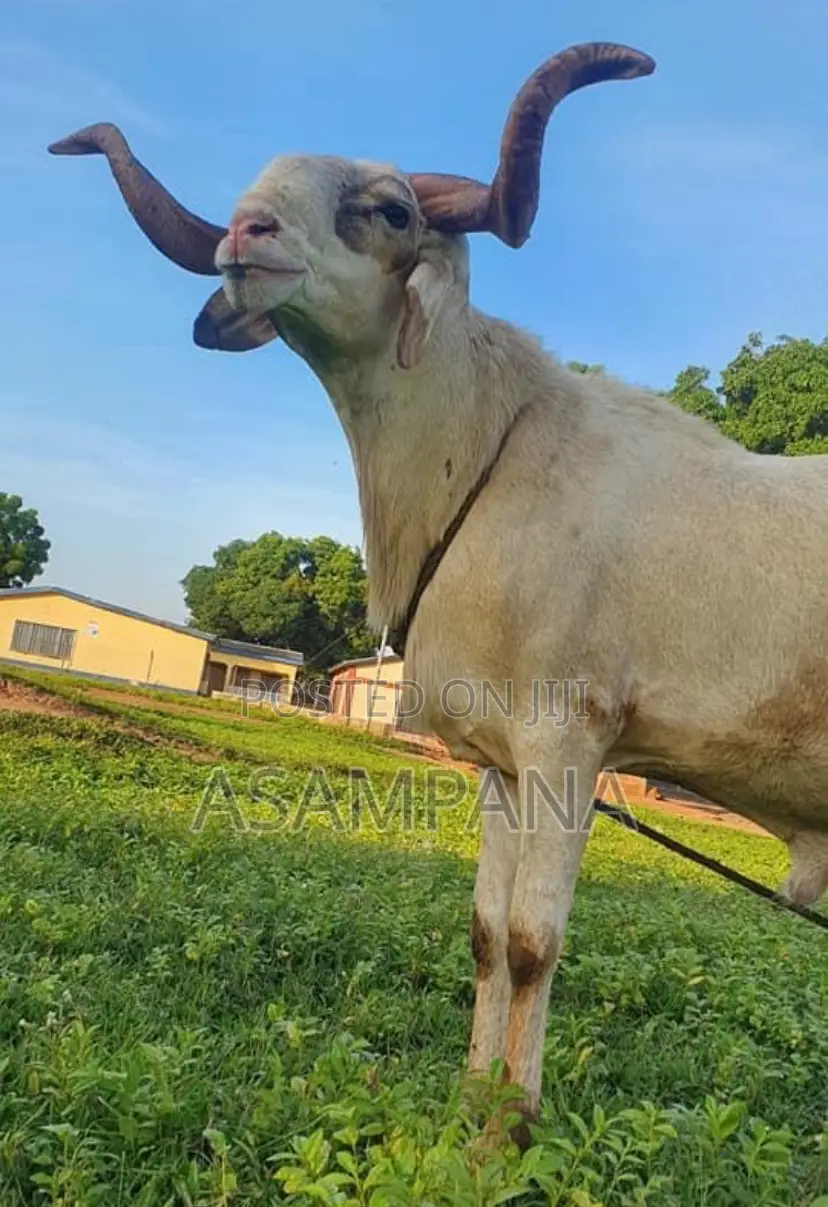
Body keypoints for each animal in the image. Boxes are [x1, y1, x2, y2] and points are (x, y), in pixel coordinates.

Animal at [49, 40, 828, 1144]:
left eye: (389, 209)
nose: (245, 235)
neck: (489, 457)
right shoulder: (502, 763)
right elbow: (487, 934)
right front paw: (475, 1104)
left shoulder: (569, 741)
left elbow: (537, 943)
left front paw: (513, 1131)